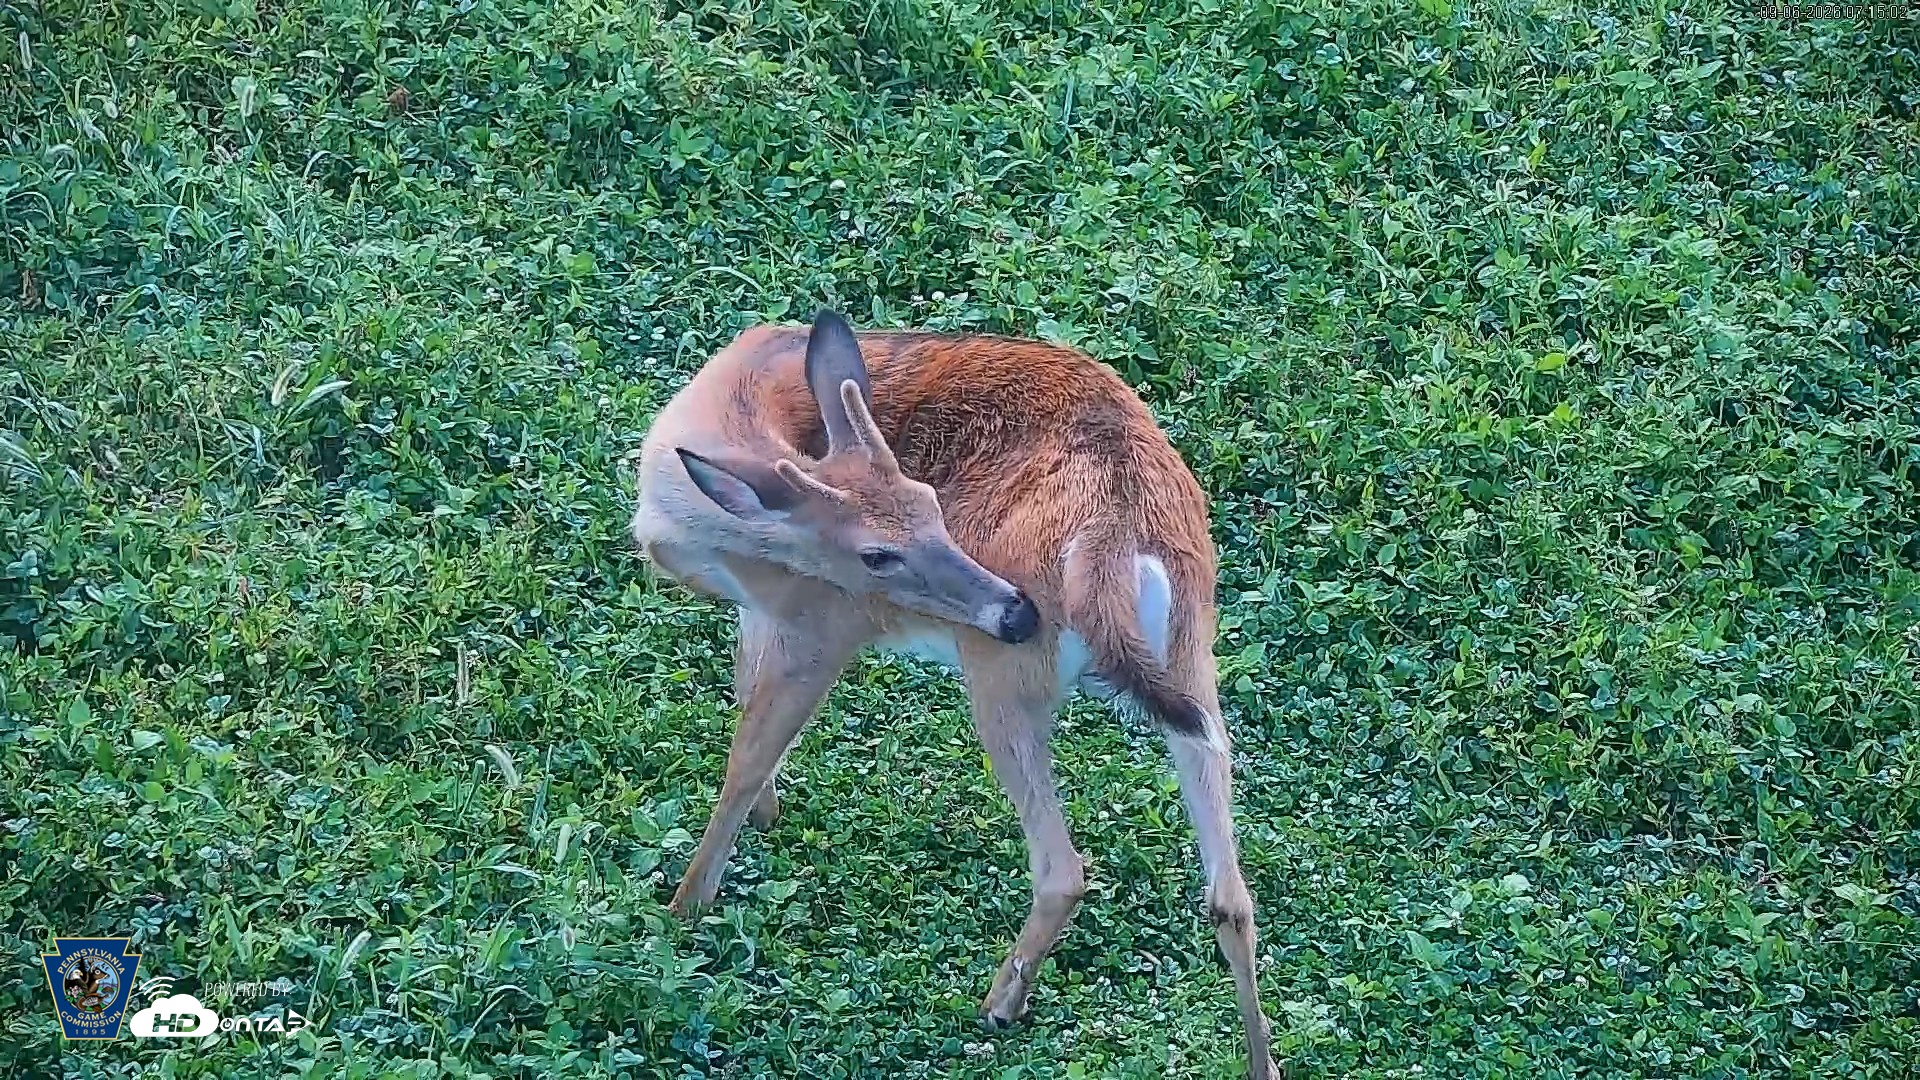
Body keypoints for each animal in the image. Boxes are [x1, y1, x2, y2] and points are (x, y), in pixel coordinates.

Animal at [630, 308, 1277, 1077]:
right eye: (879, 551)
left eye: (934, 502)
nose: (1018, 612)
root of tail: (1122, 532)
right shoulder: (766, 614)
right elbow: (743, 700)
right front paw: (762, 820)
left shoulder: (823, 622)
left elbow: (744, 760)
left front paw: (681, 912)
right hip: (1192, 665)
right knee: (1230, 893)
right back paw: (1262, 1060)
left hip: (1002, 677)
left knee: (1064, 867)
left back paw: (998, 1005)